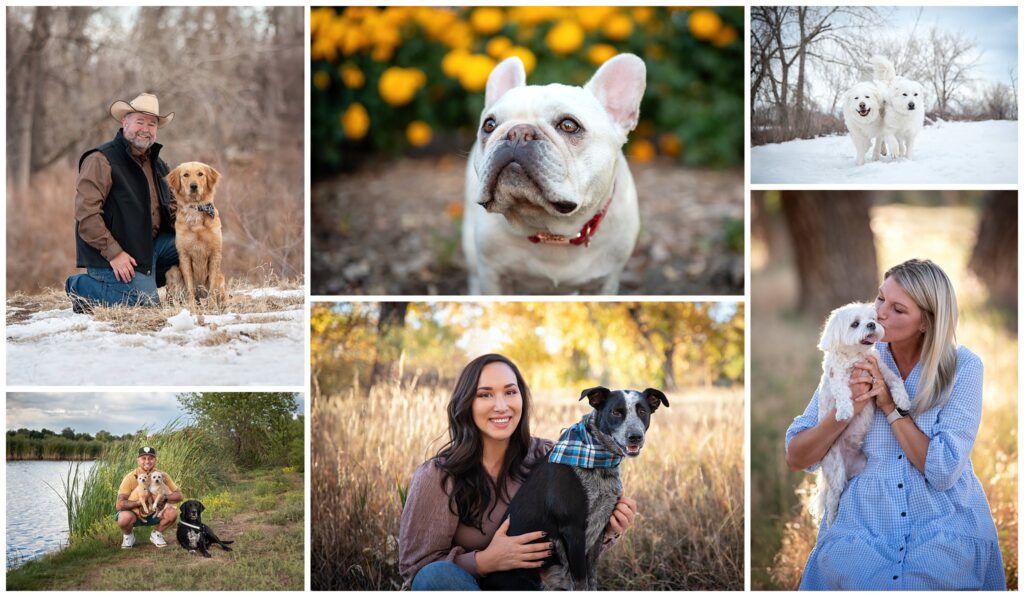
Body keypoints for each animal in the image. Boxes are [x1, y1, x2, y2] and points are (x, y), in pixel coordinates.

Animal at [163, 162, 226, 309]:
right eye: (185, 175)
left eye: (200, 174)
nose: (193, 186)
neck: (196, 209)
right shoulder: (185, 255)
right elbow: (190, 286)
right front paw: (191, 307)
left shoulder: (215, 254)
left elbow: (212, 286)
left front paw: (212, 306)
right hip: (172, 272)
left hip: (221, 277)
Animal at [481, 385, 667, 589]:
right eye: (616, 412)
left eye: (642, 411)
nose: (635, 437)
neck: (598, 461)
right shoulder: (573, 530)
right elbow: (581, 582)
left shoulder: (599, 530)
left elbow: (591, 580)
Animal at [815, 303, 913, 528]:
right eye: (855, 324)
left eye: (873, 319)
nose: (871, 325)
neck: (856, 356)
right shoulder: (837, 376)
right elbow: (842, 391)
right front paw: (845, 411)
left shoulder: (881, 370)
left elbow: (895, 381)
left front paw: (902, 400)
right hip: (835, 471)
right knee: (832, 500)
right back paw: (831, 523)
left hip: (860, 465)